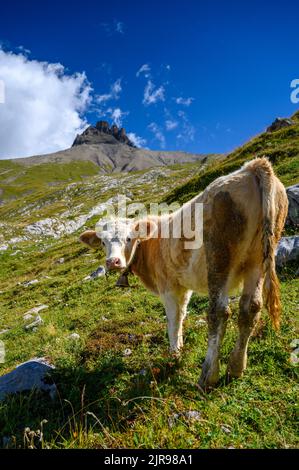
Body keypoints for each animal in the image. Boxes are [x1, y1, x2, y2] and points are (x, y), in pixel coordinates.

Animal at [79, 158, 288, 390]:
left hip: (219, 258)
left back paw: (208, 375)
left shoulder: (167, 285)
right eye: (103, 242)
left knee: (219, 312)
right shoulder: (183, 286)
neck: (149, 243)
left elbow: (172, 318)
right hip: (257, 261)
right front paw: (179, 346)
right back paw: (235, 368)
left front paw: (173, 353)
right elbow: (182, 314)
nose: (113, 262)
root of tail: (252, 167)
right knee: (250, 307)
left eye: (129, 238)